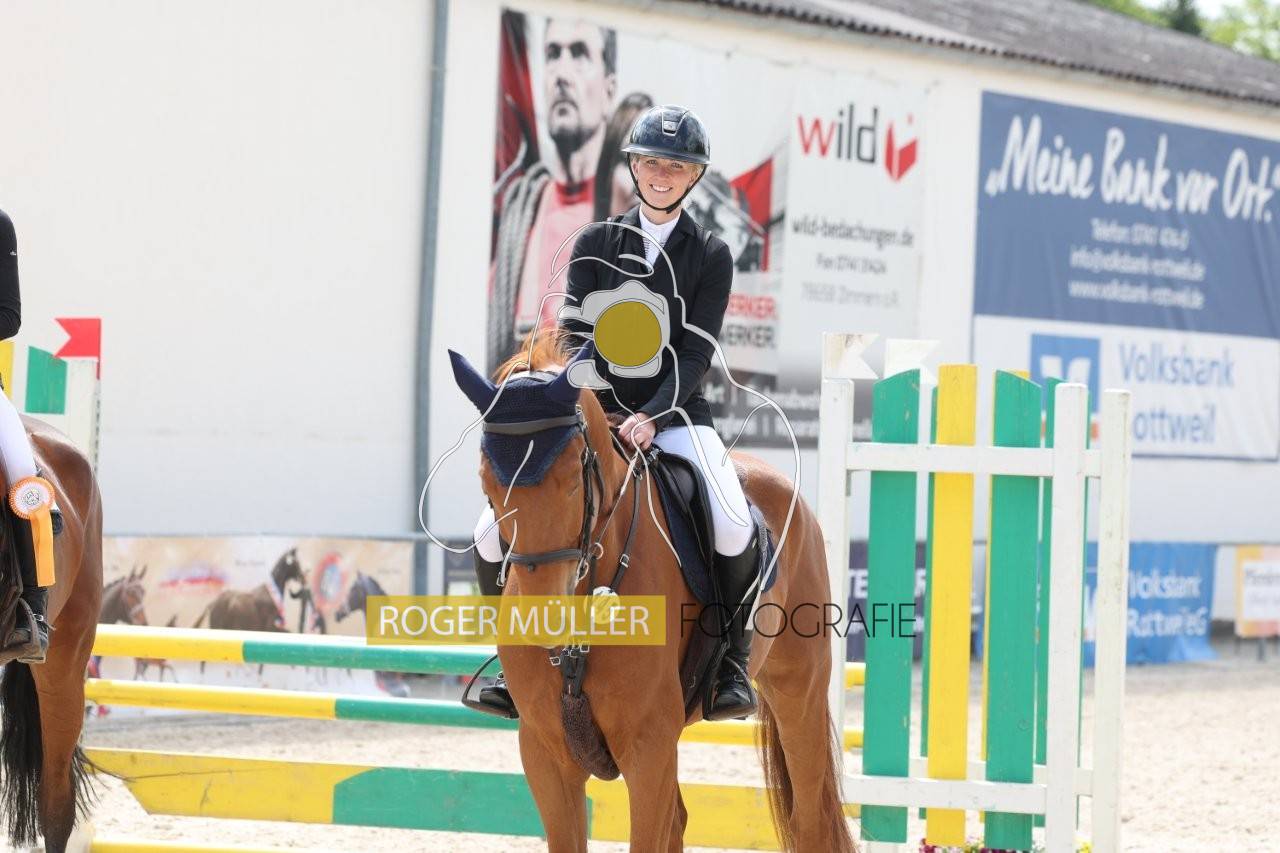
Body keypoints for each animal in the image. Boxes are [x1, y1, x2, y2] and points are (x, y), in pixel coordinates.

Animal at [448, 339, 853, 852]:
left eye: (573, 478)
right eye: (488, 483)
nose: (543, 619)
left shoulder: (648, 746)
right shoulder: (545, 754)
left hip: (798, 689)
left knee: (810, 820)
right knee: (678, 820)